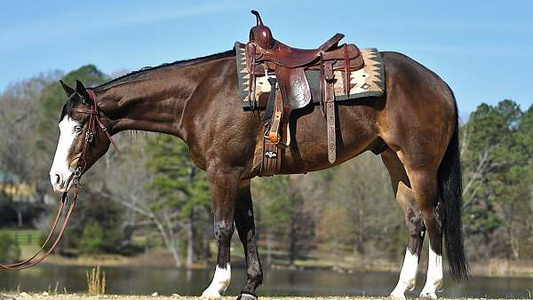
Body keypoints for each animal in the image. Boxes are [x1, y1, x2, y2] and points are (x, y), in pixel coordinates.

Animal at [48, 45, 466, 298]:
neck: (199, 94)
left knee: (434, 217)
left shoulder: (223, 172)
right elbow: (247, 229)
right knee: (414, 221)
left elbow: (222, 227)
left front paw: (216, 286)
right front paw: (249, 286)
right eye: (61, 125)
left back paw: (430, 287)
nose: (57, 178)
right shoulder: (242, 177)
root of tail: (441, 84)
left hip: (419, 165)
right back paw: (400, 289)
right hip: (395, 162)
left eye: (80, 127)